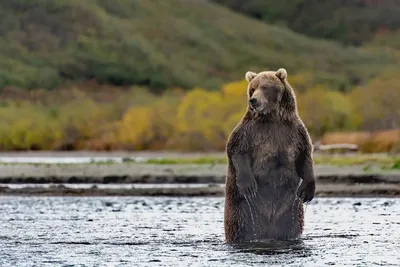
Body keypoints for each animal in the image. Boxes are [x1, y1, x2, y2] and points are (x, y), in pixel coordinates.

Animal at [223, 68, 314, 244]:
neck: (272, 118)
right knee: (239, 226)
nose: (253, 100)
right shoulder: (250, 131)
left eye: (265, 87)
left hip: (290, 211)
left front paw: (307, 191)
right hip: (241, 210)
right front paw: (249, 185)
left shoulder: (295, 132)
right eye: (252, 88)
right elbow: (236, 150)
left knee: (290, 227)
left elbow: (304, 157)